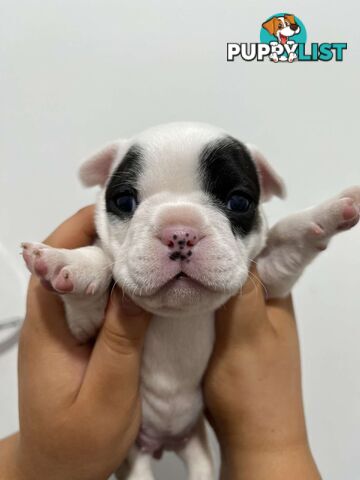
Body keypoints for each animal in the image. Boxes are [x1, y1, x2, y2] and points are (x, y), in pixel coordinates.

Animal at [21, 122, 360, 478]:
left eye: (239, 202)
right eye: (124, 201)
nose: (180, 232)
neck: (178, 314)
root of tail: (163, 443)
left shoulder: (269, 275)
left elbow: (287, 235)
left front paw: (329, 211)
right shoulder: (86, 329)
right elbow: (94, 272)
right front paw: (67, 264)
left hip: (197, 449)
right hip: (133, 457)